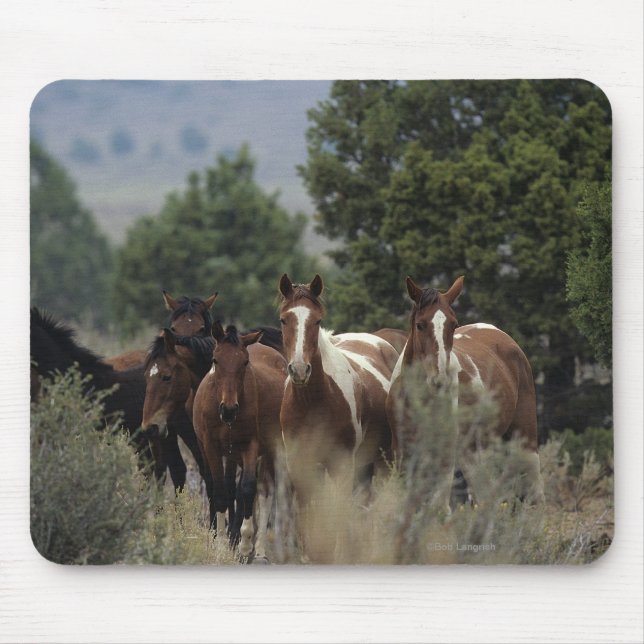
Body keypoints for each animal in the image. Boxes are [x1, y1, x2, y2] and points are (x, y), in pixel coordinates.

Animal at [192, 322, 287, 562]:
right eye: (216, 360)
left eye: (244, 362)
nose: (228, 409)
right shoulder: (212, 447)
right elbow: (220, 491)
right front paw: (220, 545)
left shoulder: (250, 446)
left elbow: (248, 488)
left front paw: (244, 545)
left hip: (270, 449)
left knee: (265, 490)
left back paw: (259, 550)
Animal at [278, 274, 399, 517]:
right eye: (284, 320)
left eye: (317, 321)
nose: (299, 370)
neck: (313, 403)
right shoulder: (300, 467)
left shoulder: (341, 466)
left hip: (383, 461)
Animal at [386, 276, 545, 511]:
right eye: (420, 325)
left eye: (453, 324)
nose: (440, 379)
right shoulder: (403, 451)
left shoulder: (445, 452)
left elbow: (439, 507)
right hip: (472, 452)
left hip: (525, 440)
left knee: (535, 494)